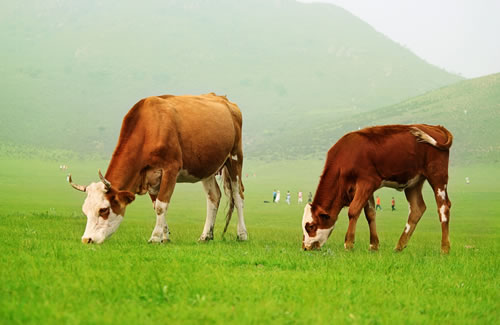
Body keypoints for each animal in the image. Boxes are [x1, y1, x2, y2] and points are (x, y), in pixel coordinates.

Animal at [67, 92, 247, 242]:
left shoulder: (170, 169)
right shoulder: (150, 176)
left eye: (103, 210)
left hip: (235, 157)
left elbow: (161, 205)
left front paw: (155, 237)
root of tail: (224, 99)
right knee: (213, 197)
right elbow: (157, 206)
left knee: (238, 195)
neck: (149, 127)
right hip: (206, 167)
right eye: (85, 211)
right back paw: (206, 236)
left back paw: (242, 234)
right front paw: (164, 237)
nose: (87, 239)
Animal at [300, 124, 454, 253]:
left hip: (437, 175)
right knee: (417, 208)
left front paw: (348, 244)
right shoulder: (366, 189)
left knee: (443, 207)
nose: (305, 247)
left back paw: (444, 248)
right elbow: (370, 214)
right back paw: (399, 246)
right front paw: (373, 245)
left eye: (311, 226)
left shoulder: (366, 182)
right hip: (413, 182)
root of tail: (435, 127)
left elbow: (353, 211)